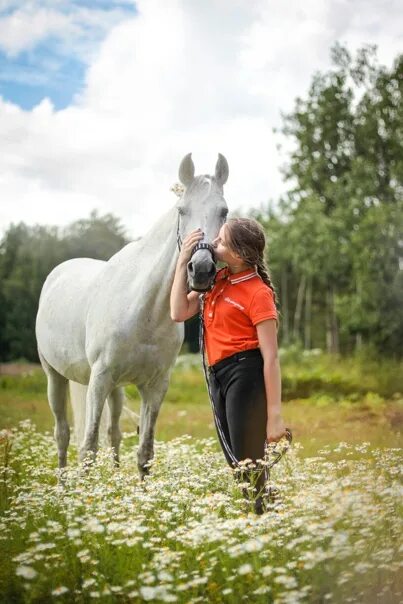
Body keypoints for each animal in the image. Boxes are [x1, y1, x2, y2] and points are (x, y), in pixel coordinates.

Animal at [36, 153, 229, 478]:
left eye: (224, 212)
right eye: (182, 210)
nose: (201, 270)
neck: (145, 309)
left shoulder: (155, 386)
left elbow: (144, 452)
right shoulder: (99, 379)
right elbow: (88, 448)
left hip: (115, 388)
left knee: (113, 433)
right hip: (55, 377)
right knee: (62, 434)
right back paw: (63, 486)